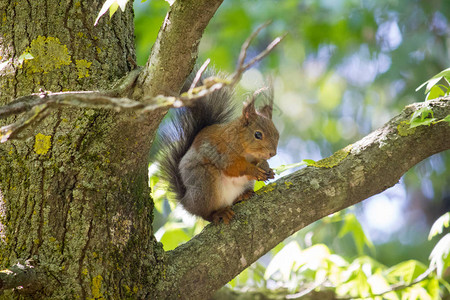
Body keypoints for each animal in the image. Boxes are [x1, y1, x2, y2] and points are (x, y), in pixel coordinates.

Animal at [157, 70, 278, 224]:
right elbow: (234, 167)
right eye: (258, 134)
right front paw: (254, 170)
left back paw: (242, 196)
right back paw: (218, 213)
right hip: (205, 183)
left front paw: (268, 169)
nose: (272, 153)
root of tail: (186, 202)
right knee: (205, 214)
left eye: (277, 133)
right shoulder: (222, 152)